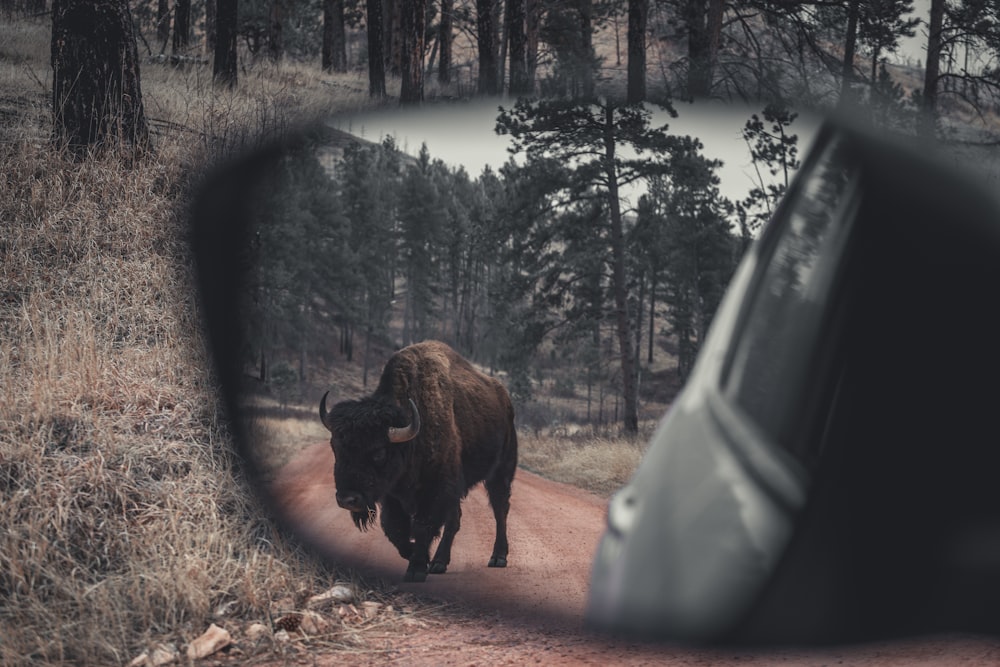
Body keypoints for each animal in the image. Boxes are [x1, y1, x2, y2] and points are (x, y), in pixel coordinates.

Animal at [320, 342, 520, 580]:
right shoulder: (393, 494)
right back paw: (439, 562)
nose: (347, 499)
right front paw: (419, 556)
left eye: (379, 452)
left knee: (500, 510)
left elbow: (423, 525)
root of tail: (504, 398)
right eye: (335, 447)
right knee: (456, 520)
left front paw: (416, 569)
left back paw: (498, 557)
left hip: (500, 473)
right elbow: (394, 528)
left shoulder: (435, 490)